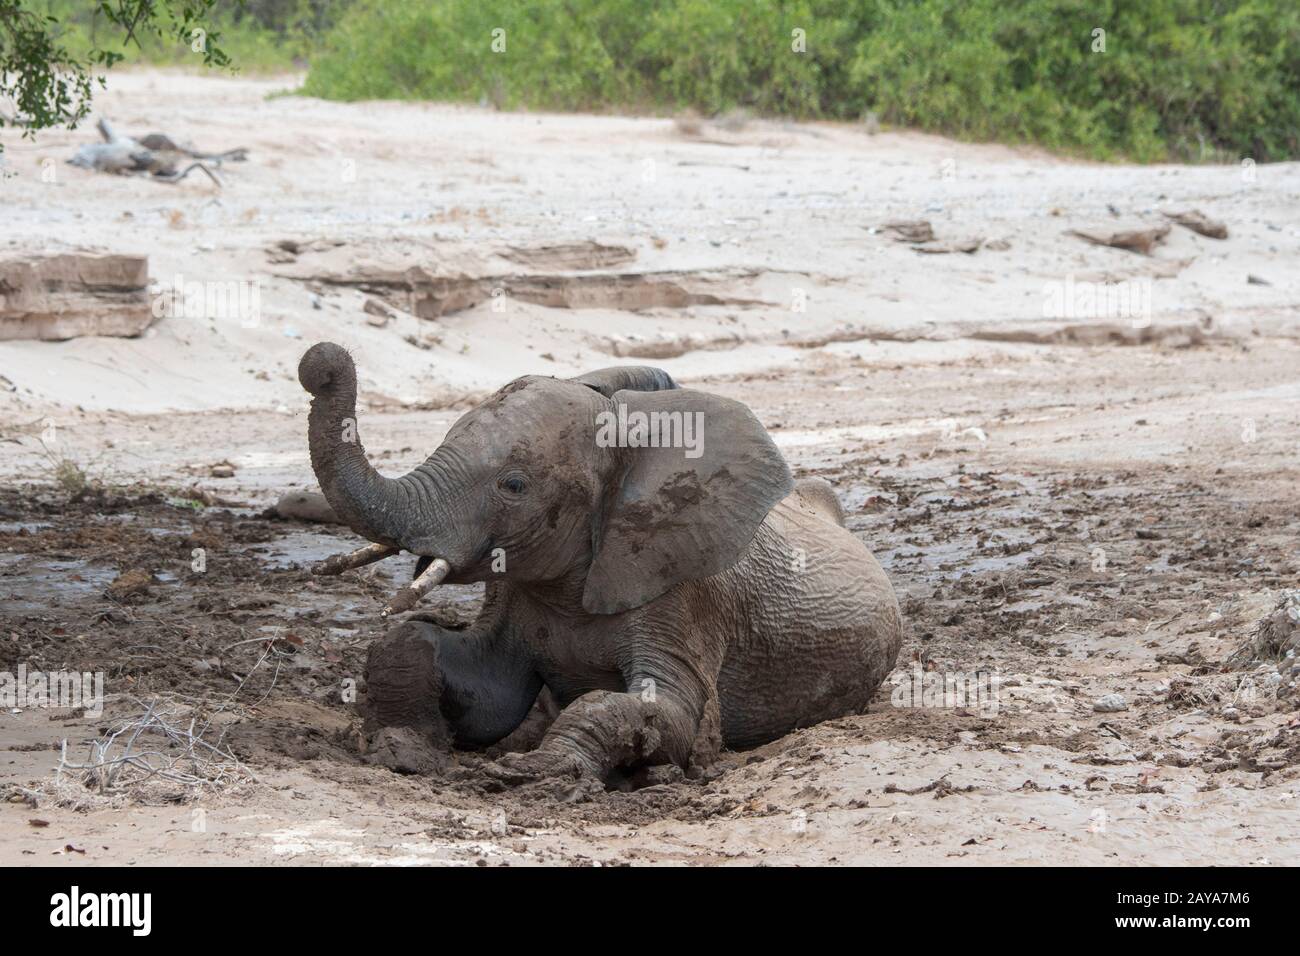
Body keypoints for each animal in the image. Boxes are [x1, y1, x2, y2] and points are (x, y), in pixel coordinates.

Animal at [298, 341, 902, 784]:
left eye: (513, 485)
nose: (319, 364)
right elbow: (475, 684)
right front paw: (401, 752)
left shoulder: (685, 593)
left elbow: (665, 711)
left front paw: (530, 771)